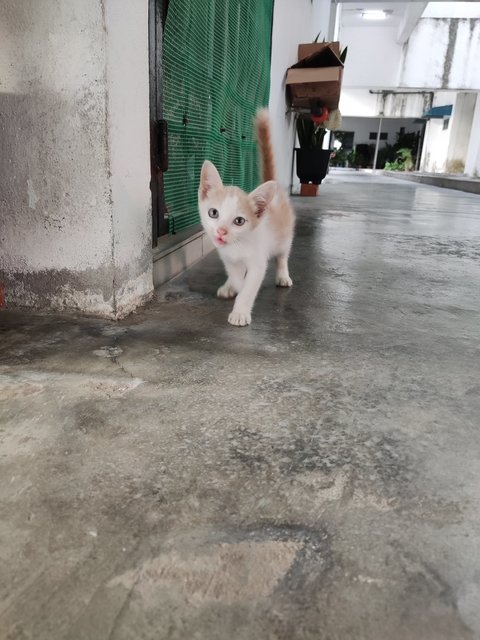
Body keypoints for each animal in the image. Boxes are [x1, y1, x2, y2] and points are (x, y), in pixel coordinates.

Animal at [197, 109, 294, 324]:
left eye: (239, 221)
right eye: (213, 213)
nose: (221, 231)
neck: (237, 245)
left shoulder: (257, 262)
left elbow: (250, 286)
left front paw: (240, 311)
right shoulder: (228, 259)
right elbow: (237, 277)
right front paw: (235, 286)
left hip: (285, 236)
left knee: (282, 256)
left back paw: (283, 275)